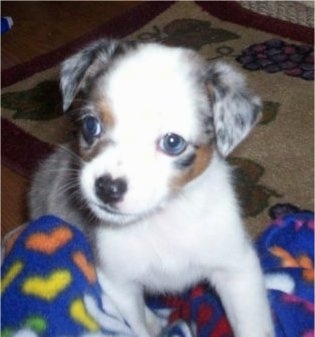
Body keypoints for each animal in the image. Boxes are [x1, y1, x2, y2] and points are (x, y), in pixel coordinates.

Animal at [29, 40, 274, 336]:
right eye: (91, 125)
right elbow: (137, 325)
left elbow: (254, 325)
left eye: (172, 142)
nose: (107, 187)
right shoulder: (118, 282)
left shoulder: (237, 268)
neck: (162, 219)